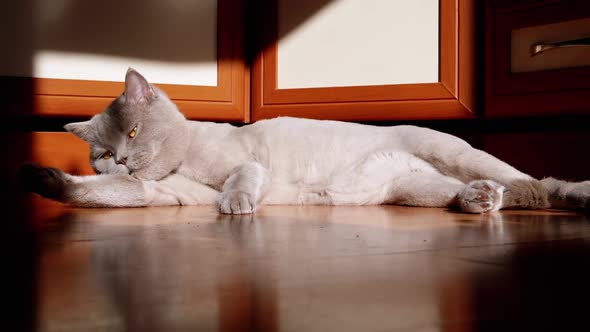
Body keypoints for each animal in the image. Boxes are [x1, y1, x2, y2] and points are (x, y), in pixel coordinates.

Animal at [19, 68, 590, 214]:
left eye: (133, 133)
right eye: (102, 154)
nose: (122, 160)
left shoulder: (246, 162)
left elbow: (242, 176)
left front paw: (236, 205)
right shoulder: (158, 194)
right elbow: (101, 195)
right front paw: (40, 177)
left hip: (453, 152)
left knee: (537, 182)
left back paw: (551, 195)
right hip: (416, 190)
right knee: (473, 194)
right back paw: (480, 200)